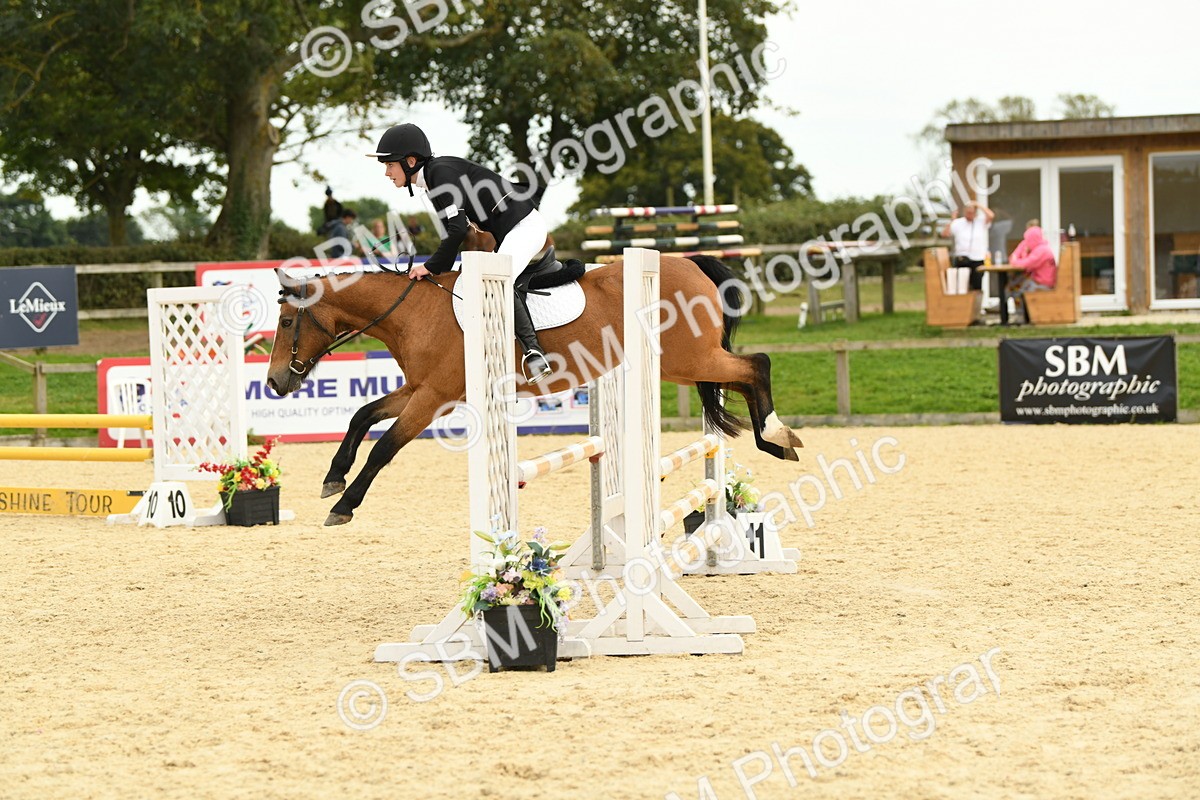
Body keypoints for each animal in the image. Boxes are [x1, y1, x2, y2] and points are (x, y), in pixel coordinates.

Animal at [266, 254, 804, 526]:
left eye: (288, 321)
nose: (274, 383)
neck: (412, 313)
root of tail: (691, 264)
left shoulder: (433, 397)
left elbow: (385, 448)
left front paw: (343, 505)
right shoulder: (419, 388)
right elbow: (362, 414)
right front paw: (333, 478)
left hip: (687, 360)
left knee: (756, 365)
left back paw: (777, 436)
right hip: (684, 365)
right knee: (743, 376)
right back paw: (776, 442)